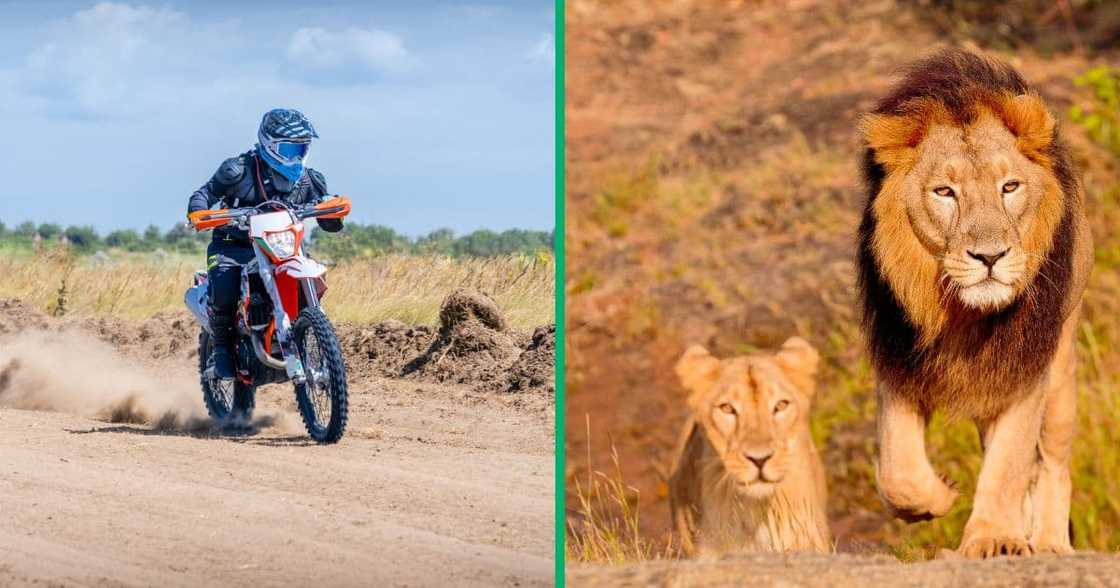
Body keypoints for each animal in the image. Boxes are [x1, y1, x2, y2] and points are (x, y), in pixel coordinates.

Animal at [857, 49, 1092, 558]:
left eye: (1010, 187)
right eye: (945, 192)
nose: (990, 256)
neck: (963, 313)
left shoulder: (1025, 367)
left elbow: (1010, 463)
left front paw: (995, 539)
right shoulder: (897, 358)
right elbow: (899, 471)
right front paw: (938, 497)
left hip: (1062, 368)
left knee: (1052, 462)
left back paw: (1048, 542)